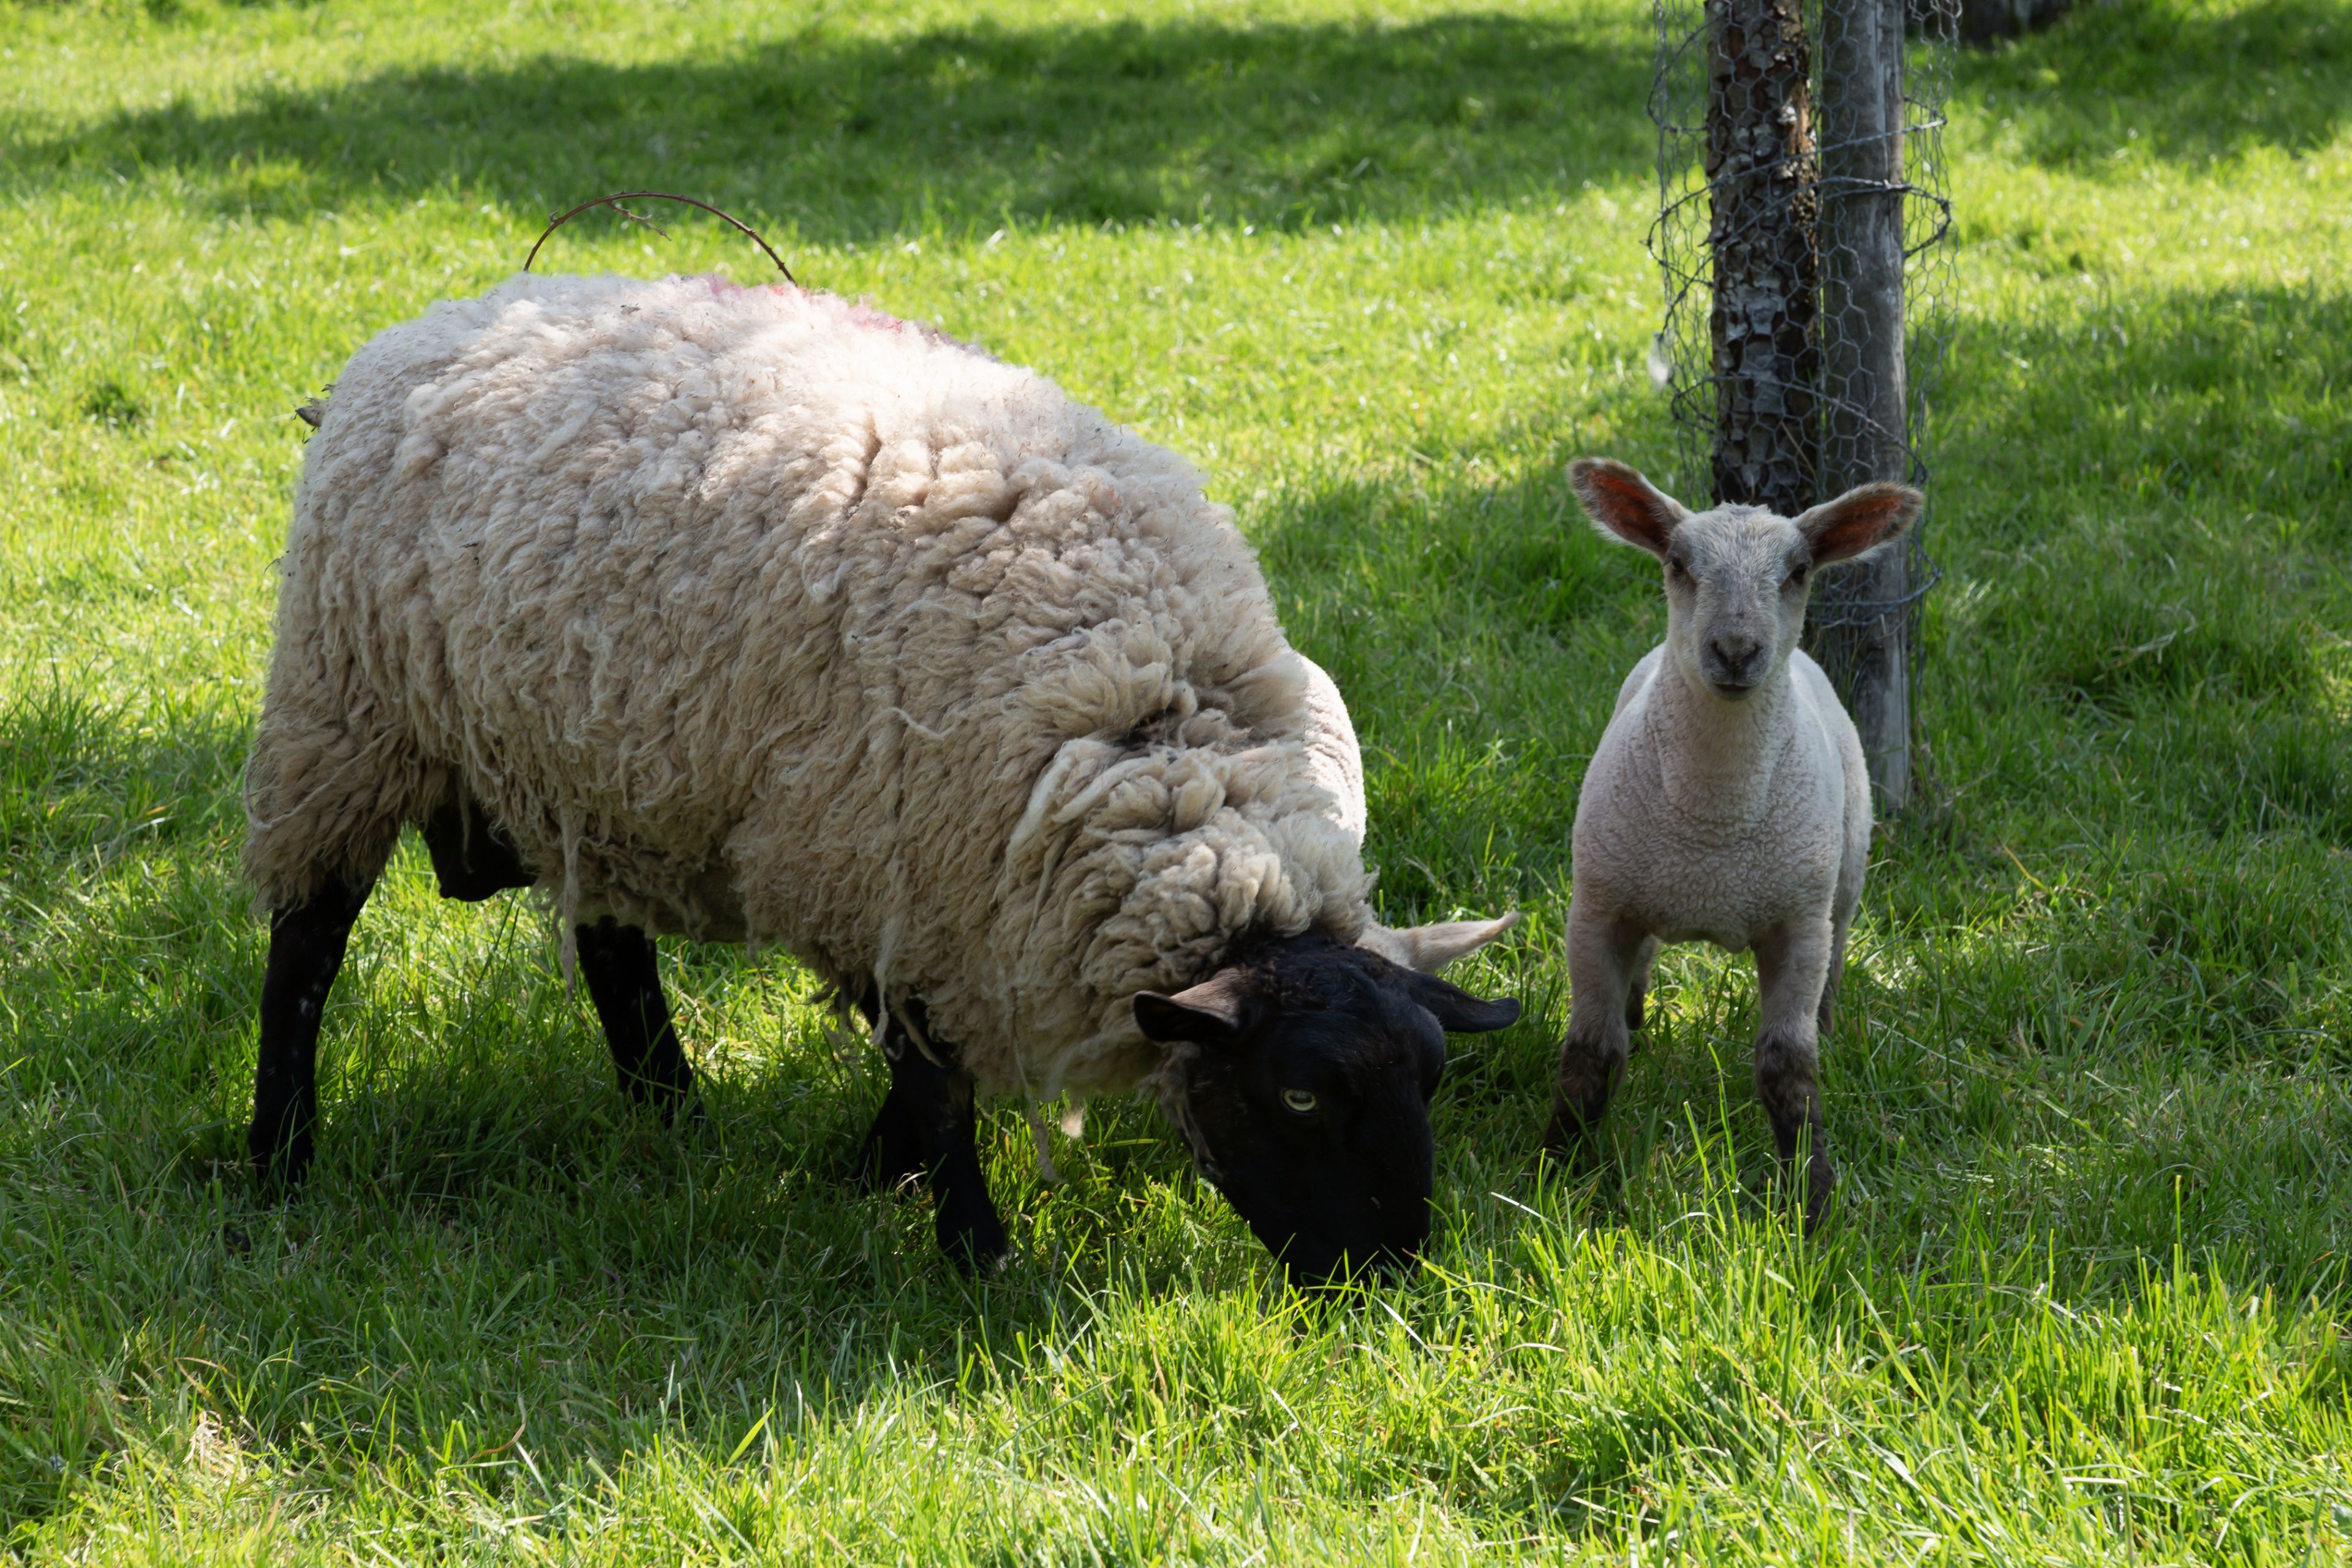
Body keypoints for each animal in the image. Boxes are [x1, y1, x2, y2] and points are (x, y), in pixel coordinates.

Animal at [242, 271, 1522, 1281]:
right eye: (1299, 1094)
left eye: (1431, 1081)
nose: (1382, 1275)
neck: (1153, 735)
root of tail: (447, 314)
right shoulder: (894, 878)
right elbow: (938, 1082)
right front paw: (972, 1248)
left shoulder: (932, 903)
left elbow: (920, 1081)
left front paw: (867, 1178)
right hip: (343, 716)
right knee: (307, 952)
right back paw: (278, 1161)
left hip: (600, 764)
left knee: (612, 951)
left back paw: (674, 1117)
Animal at [1549, 457, 1921, 1227]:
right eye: (1678, 564)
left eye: (1800, 570)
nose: (1736, 650)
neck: (1712, 826)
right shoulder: (1595, 909)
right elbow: (1592, 1052)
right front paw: (1556, 1169)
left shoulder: (1798, 926)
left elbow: (1788, 1066)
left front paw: (1812, 1197)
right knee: (1642, 963)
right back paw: (1637, 1009)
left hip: (1844, 885)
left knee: (1839, 956)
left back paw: (1832, 1025)